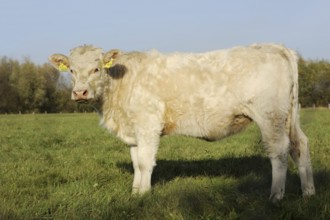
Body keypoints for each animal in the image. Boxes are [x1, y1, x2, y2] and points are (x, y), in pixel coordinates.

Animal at [49, 43, 314, 203]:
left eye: (96, 69)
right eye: (71, 70)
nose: (80, 93)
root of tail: (275, 46)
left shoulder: (148, 124)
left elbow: (145, 163)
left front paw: (144, 194)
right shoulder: (134, 130)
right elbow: (136, 163)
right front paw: (134, 193)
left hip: (271, 115)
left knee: (279, 151)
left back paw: (275, 196)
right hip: (290, 115)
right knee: (300, 146)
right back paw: (308, 193)